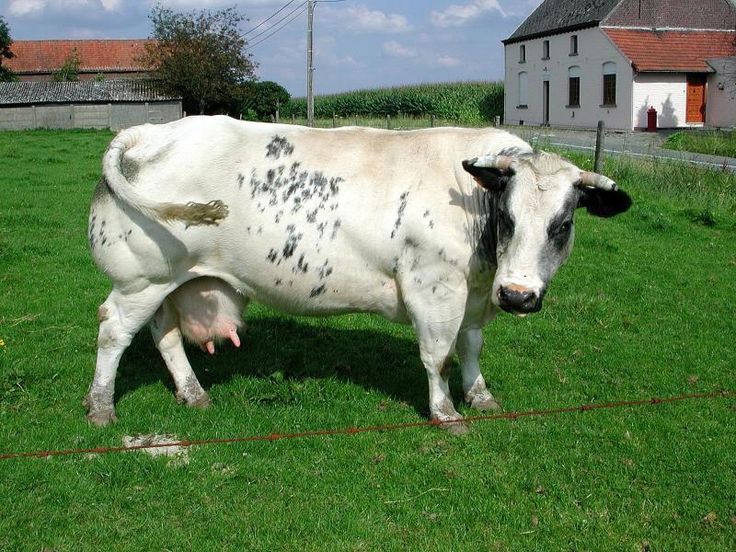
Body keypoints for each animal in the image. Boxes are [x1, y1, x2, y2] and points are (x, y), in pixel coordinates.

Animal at [85, 116, 628, 432]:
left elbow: (471, 347)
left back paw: (194, 393)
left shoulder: (474, 294)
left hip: (169, 283)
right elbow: (439, 357)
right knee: (114, 331)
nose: (517, 296)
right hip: (139, 281)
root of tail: (154, 130)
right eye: (509, 217)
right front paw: (447, 414)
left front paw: (481, 396)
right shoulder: (435, 287)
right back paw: (101, 407)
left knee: (165, 333)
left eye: (563, 224)